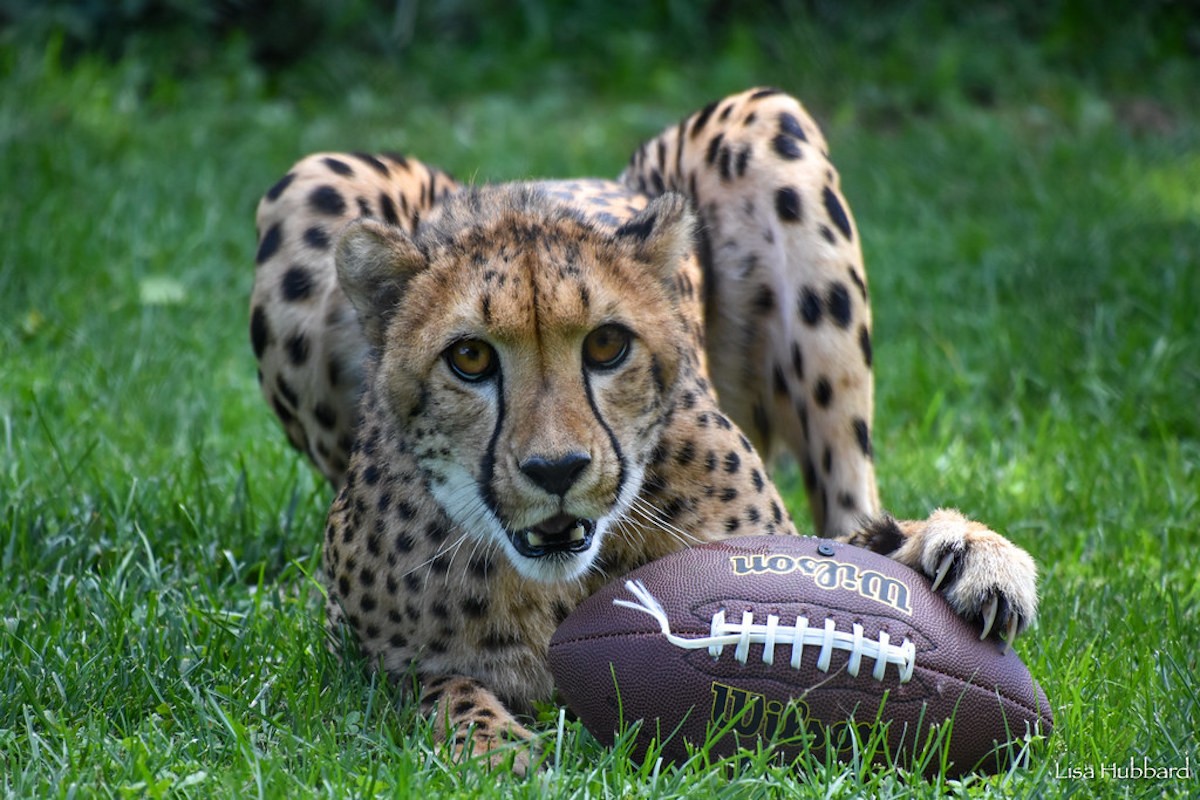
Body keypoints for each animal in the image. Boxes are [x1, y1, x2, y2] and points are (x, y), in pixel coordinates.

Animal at [248, 87, 1036, 767]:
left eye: (606, 345)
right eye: (468, 358)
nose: (557, 471)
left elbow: (847, 557)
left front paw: (967, 552)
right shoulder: (354, 658)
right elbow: (442, 686)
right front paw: (497, 750)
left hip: (766, 121)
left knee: (851, 505)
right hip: (309, 182)